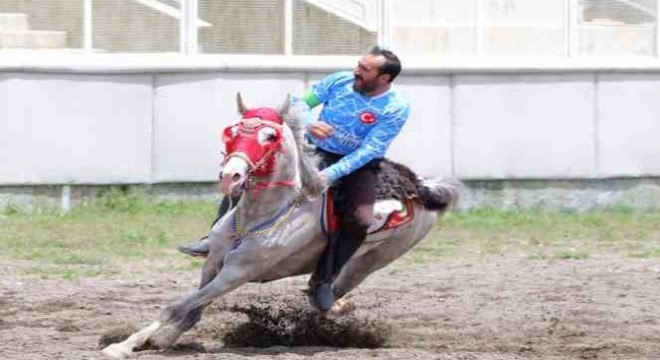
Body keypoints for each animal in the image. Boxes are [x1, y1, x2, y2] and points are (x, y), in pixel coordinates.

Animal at [103, 92, 462, 358]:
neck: (262, 215)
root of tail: (422, 186)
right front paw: (159, 339)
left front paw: (124, 346)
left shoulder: (238, 273)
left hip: (373, 261)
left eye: (269, 135)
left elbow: (178, 305)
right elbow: (190, 306)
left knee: (329, 292)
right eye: (232, 131)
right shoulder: (214, 263)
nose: (231, 175)